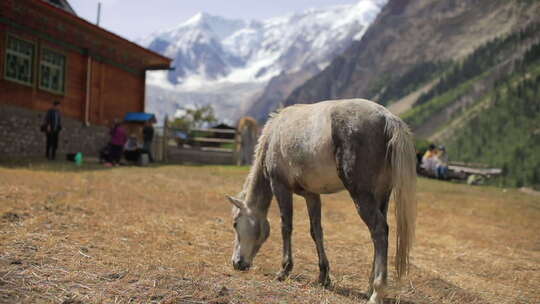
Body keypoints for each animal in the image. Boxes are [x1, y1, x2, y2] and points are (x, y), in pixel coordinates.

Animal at [226, 98, 416, 302]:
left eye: (235, 224)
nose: (237, 263)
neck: (273, 136)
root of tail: (387, 118)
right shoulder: (312, 195)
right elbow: (316, 231)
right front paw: (323, 276)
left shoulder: (280, 187)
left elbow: (286, 227)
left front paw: (284, 270)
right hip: (382, 196)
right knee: (379, 234)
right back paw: (368, 288)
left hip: (362, 195)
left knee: (379, 230)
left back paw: (376, 292)